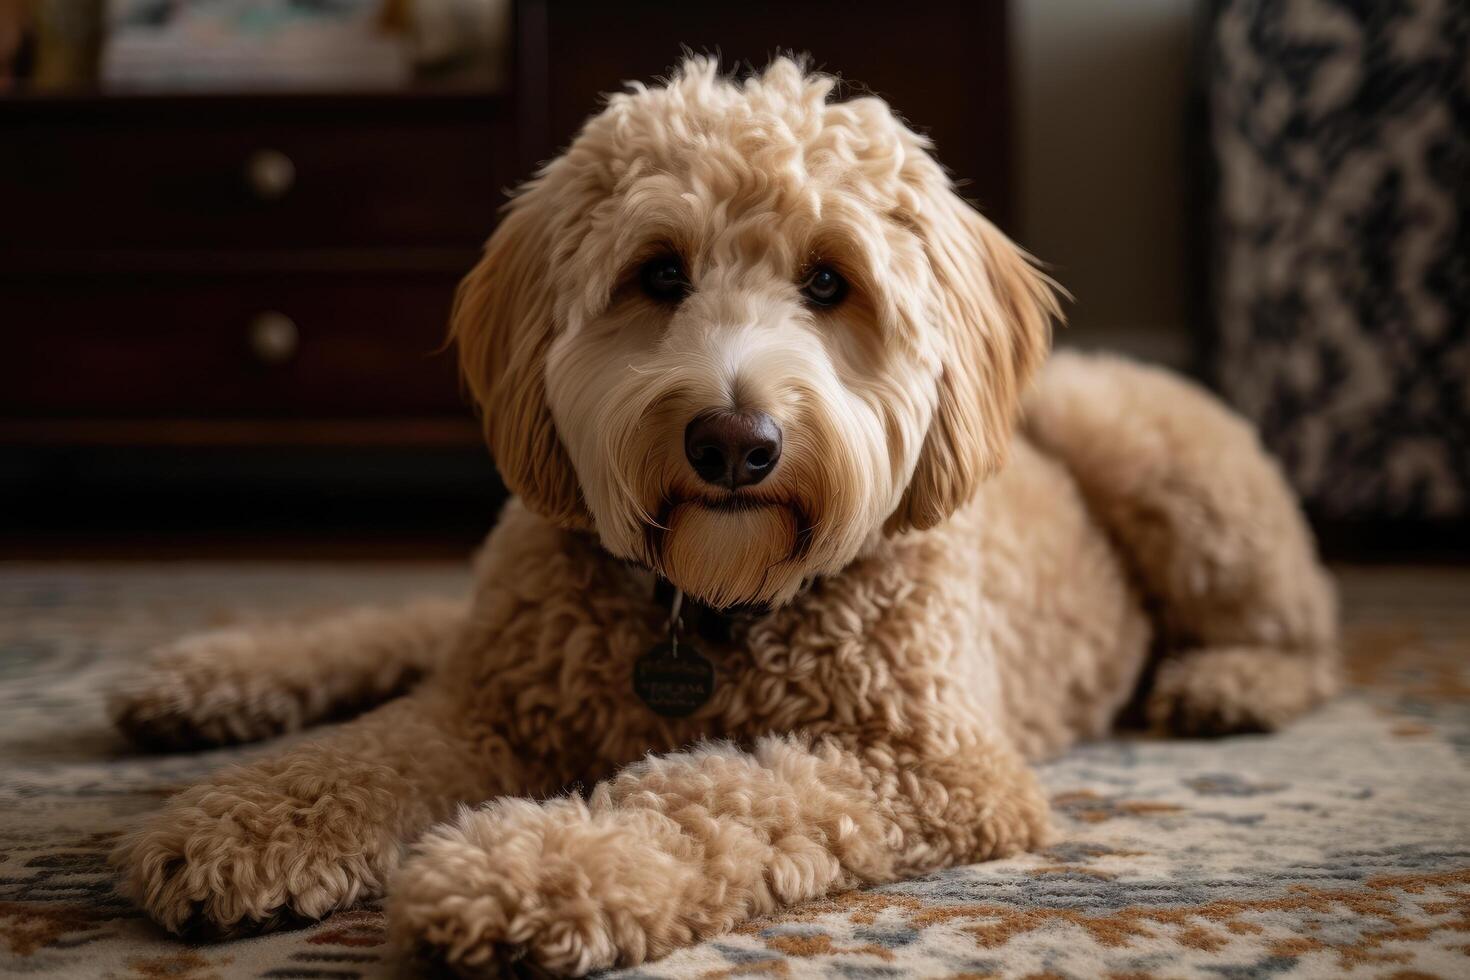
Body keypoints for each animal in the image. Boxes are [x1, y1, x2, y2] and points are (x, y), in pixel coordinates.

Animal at [108, 59, 1340, 975]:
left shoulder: (925, 766)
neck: (709, 599)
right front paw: (242, 823)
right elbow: (368, 747)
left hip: (1154, 460)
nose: (735, 441)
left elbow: (702, 798)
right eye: (659, 272)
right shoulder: (487, 703)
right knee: (404, 626)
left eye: (831, 281)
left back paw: (1228, 683)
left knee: (1304, 635)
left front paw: (524, 872)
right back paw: (209, 679)